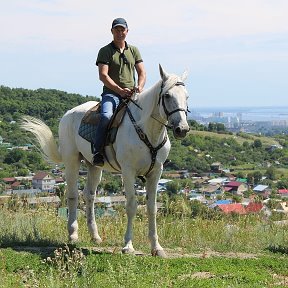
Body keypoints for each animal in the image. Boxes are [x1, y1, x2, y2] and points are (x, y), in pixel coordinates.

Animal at [20, 64, 189, 256]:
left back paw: (95, 236)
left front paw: (156, 247)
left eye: (187, 96)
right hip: (72, 160)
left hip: (94, 166)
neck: (146, 130)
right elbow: (131, 205)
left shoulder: (156, 172)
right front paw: (128, 246)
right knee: (72, 195)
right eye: (167, 95)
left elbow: (152, 208)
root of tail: (68, 114)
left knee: (89, 195)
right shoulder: (128, 171)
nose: (182, 129)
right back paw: (73, 234)